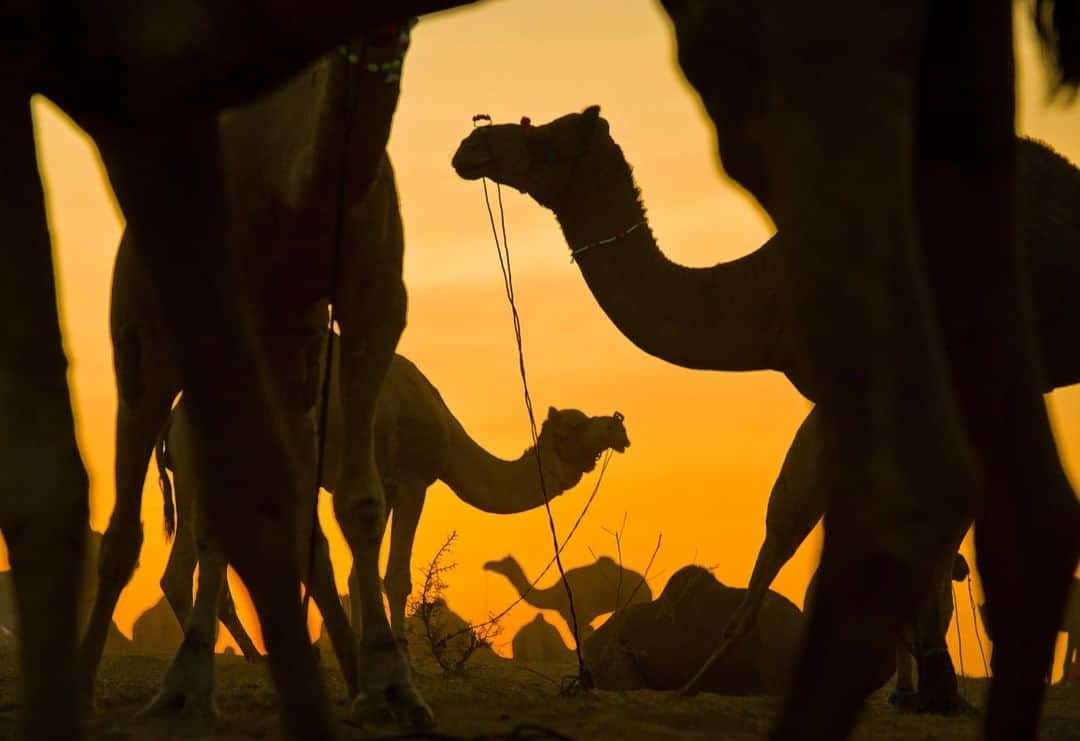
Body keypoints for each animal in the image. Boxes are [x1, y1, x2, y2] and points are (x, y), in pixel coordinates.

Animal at [152, 354, 626, 669]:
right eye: (581, 424)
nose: (618, 425)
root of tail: (171, 419)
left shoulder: (388, 487)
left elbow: (357, 575)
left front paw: (372, 646)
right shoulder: (415, 479)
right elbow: (395, 575)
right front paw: (400, 649)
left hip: (198, 480)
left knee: (183, 573)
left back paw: (249, 656)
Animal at [486, 553, 652, 639]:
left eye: (502, 562)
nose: (488, 565)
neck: (554, 595)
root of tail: (648, 588)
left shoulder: (576, 615)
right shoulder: (582, 619)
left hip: (634, 599)